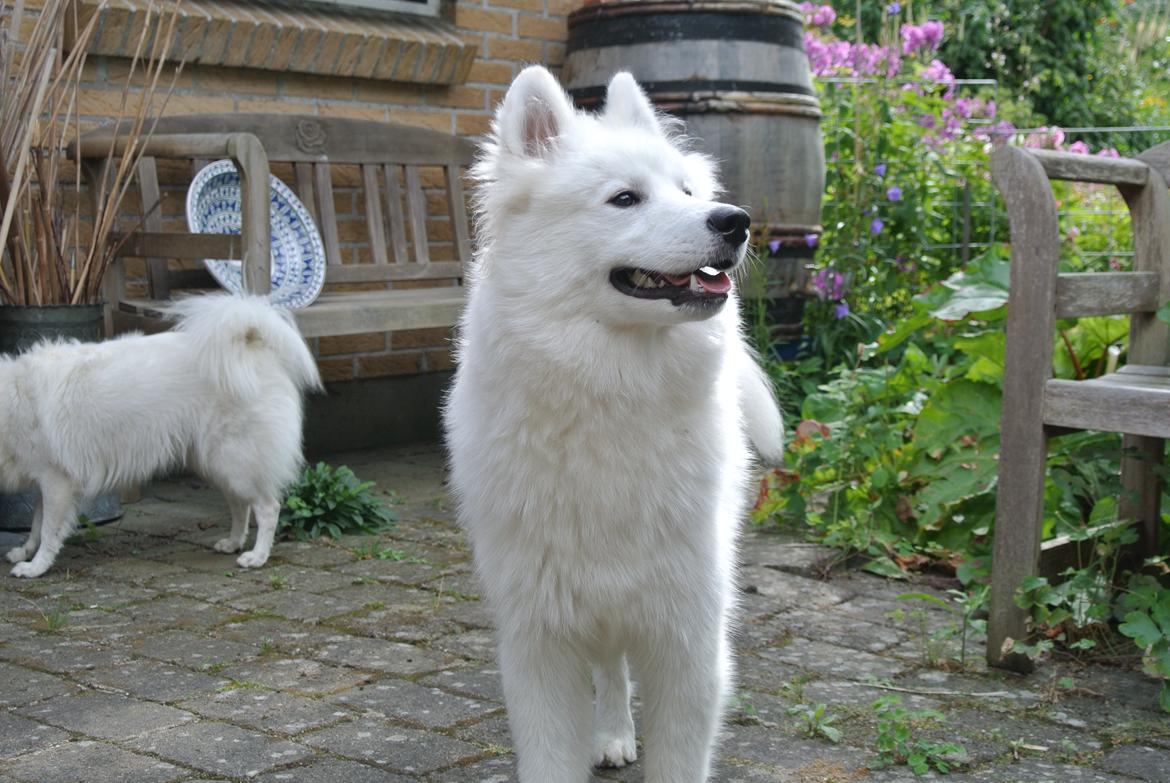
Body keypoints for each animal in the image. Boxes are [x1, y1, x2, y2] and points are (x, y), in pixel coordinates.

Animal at [2, 296, 322, 578]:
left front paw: (35, 567)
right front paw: (24, 552)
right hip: (217, 463)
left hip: (235, 460)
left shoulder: (57, 481)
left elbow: (48, 530)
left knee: (268, 507)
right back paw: (233, 543)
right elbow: (35, 524)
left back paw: (257, 557)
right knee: (239, 504)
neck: (13, 401)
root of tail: (251, 342)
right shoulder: (46, 483)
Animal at [444, 68, 786, 781]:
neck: (611, 395)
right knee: (609, 668)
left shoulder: (689, 642)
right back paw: (611, 733)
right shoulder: (541, 641)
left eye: (687, 191)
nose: (734, 221)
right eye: (624, 199)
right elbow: (553, 753)